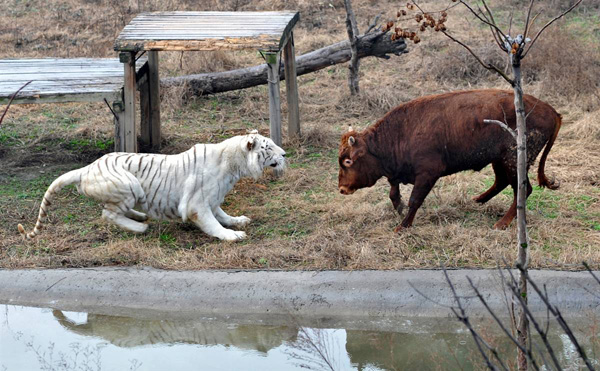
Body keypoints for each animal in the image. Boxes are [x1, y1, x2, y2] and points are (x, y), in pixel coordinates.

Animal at [18, 132, 286, 243]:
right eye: (269, 147)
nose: (285, 153)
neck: (234, 165)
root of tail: (86, 168)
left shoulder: (213, 198)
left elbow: (222, 215)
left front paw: (238, 221)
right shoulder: (197, 204)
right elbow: (213, 224)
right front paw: (232, 236)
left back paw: (139, 216)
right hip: (129, 185)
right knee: (107, 214)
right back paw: (139, 227)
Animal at [338, 88, 564, 231]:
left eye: (348, 161)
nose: (342, 188)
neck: (399, 133)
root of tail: (552, 111)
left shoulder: (427, 174)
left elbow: (415, 200)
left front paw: (402, 227)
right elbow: (394, 192)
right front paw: (399, 209)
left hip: (512, 160)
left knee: (522, 188)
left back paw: (501, 224)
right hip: (499, 160)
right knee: (502, 182)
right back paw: (477, 200)